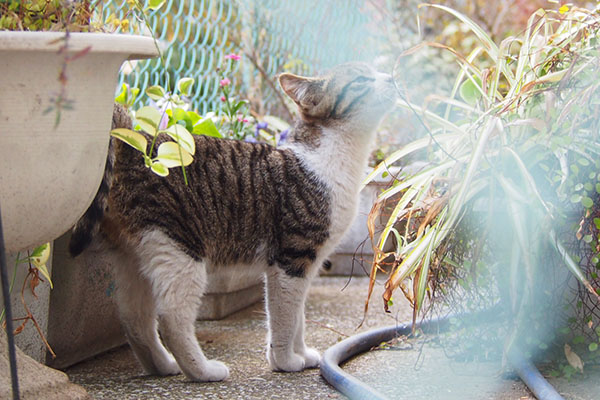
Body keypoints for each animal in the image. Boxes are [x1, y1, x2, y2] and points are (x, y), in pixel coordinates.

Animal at [70, 61, 396, 382]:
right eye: (362, 80)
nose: (393, 77)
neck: (331, 158)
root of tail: (136, 143)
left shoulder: (307, 264)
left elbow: (299, 317)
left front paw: (301, 353)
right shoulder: (291, 258)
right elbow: (286, 318)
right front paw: (285, 361)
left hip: (135, 255)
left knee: (135, 318)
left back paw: (161, 366)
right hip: (178, 247)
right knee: (172, 316)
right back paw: (202, 370)